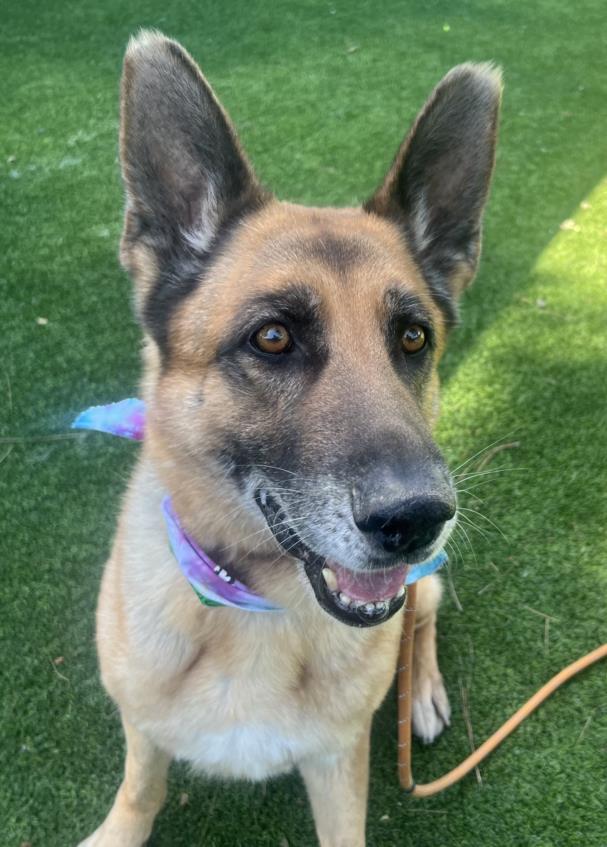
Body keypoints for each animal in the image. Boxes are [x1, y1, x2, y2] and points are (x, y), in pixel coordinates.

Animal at [78, 29, 502, 844]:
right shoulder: (141, 727)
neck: (259, 603)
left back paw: (421, 693)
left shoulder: (339, 765)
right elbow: (141, 790)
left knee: (422, 621)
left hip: (424, 586)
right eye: (272, 338)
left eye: (412, 338)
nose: (416, 519)